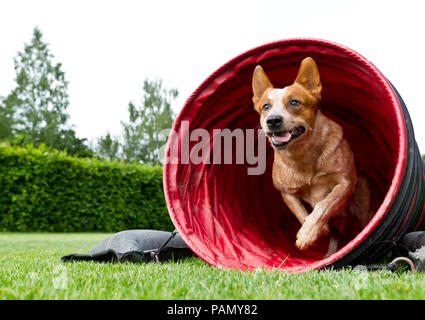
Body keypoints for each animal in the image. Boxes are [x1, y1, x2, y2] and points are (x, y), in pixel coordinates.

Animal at [250, 58, 372, 258]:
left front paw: (307, 234)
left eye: (294, 102)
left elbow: (324, 205)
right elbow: (301, 213)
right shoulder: (286, 192)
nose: (273, 120)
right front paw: (312, 230)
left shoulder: (344, 183)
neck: (303, 155)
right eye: (266, 106)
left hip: (362, 204)